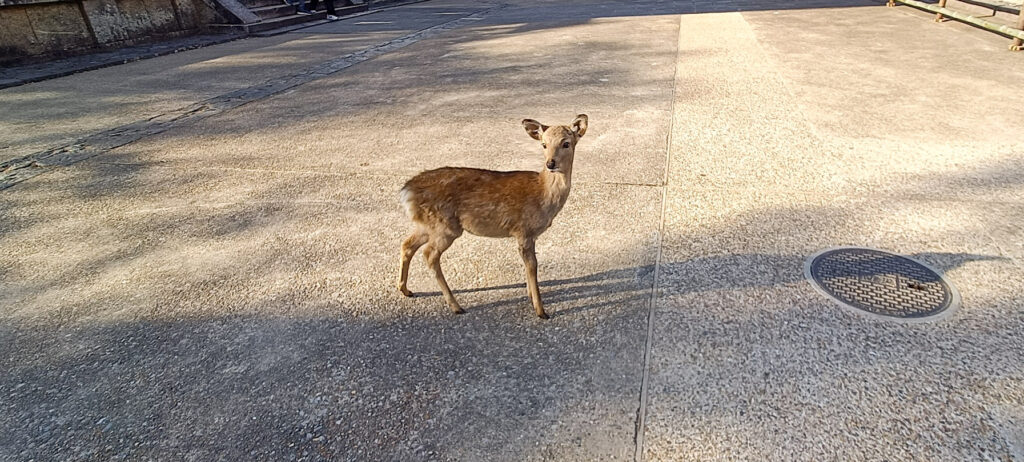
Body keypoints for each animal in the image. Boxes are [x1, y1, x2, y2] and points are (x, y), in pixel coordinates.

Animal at [397, 114, 589, 319]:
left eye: (566, 143)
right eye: (543, 144)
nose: (550, 164)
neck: (543, 193)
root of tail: (406, 192)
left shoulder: (528, 235)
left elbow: (529, 266)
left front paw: (530, 296)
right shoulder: (524, 230)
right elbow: (532, 266)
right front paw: (541, 311)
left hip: (428, 224)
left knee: (407, 244)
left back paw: (405, 290)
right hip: (445, 226)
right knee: (429, 254)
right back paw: (456, 306)